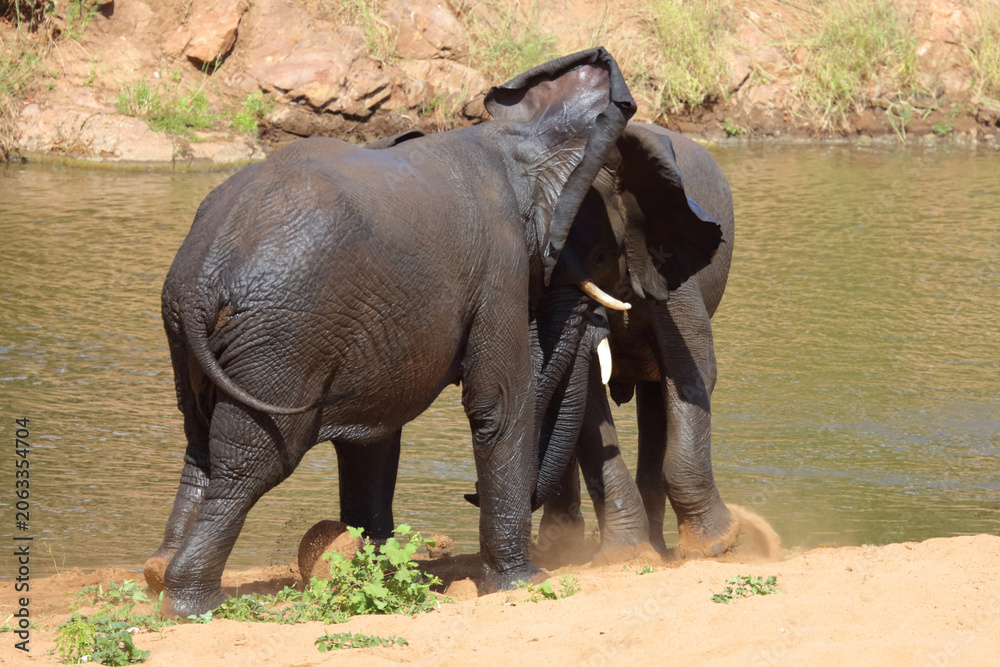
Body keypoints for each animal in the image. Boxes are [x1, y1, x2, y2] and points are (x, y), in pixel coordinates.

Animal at [142, 48, 724, 617]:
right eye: (603, 255)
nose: (468, 495)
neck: (515, 141)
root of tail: (203, 276)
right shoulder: (499, 263)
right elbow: (501, 402)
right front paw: (520, 584)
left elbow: (375, 433)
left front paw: (377, 568)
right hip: (281, 338)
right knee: (252, 460)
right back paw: (192, 603)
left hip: (195, 333)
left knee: (200, 444)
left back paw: (159, 576)